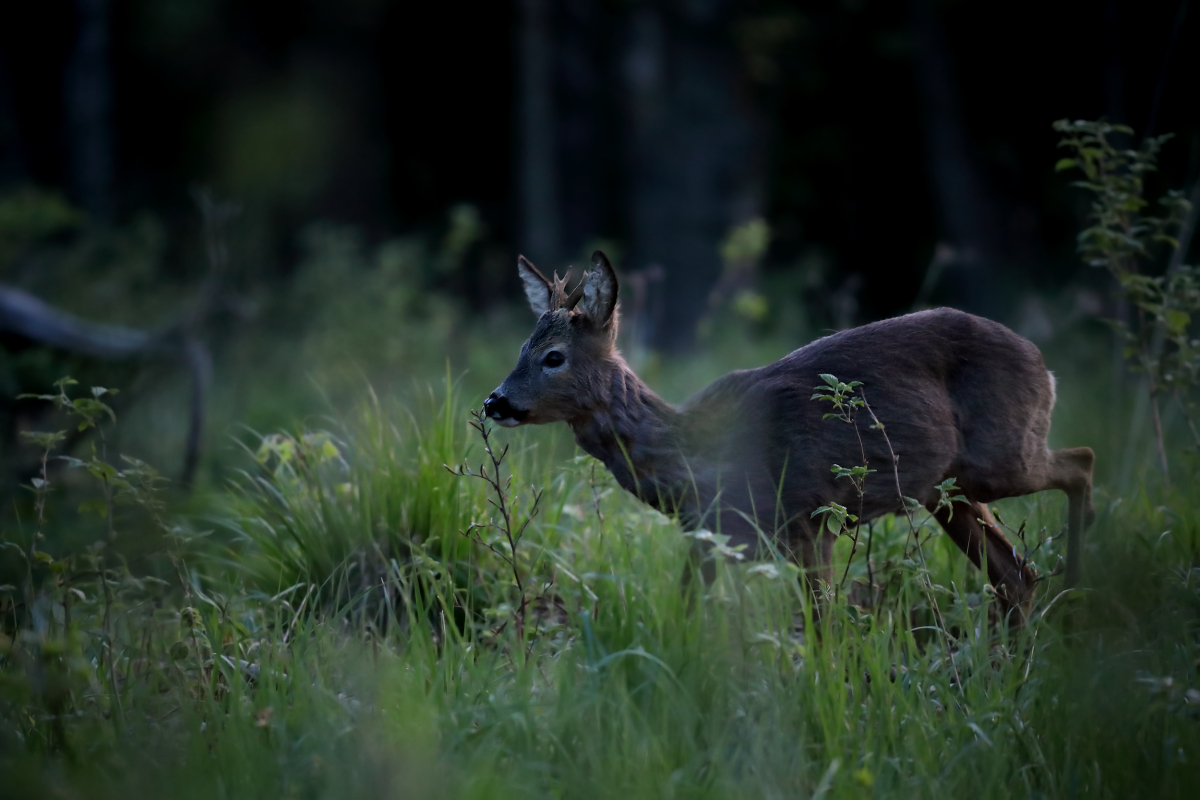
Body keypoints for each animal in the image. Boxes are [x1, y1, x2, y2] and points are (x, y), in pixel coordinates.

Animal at [482, 250, 1094, 618]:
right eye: (522, 348)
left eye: (554, 357)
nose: (495, 401)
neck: (694, 451)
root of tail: (1044, 363)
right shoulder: (710, 533)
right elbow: (687, 610)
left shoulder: (809, 515)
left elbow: (823, 625)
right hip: (946, 490)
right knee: (1016, 575)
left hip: (998, 457)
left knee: (1081, 460)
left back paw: (1078, 594)